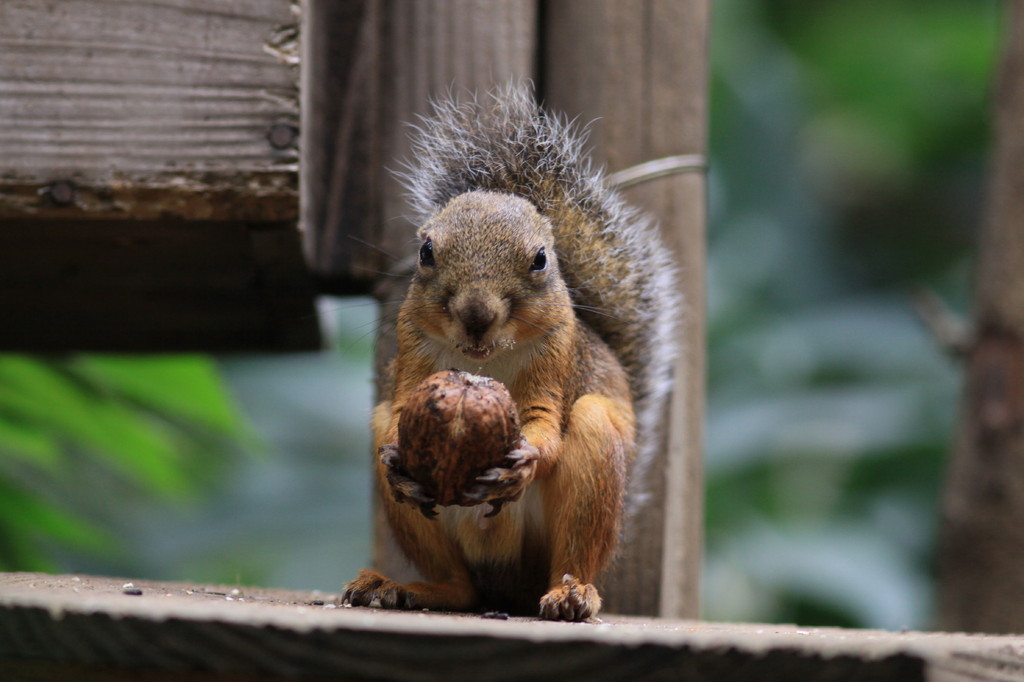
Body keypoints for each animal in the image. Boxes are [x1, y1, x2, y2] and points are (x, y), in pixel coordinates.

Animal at [342, 82, 679, 618]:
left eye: (541, 259)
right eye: (426, 252)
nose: (477, 315)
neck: (484, 361)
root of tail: (509, 585)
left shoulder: (556, 357)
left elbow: (544, 422)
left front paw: (526, 459)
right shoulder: (413, 349)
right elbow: (399, 411)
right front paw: (397, 458)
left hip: (592, 472)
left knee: (574, 548)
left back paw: (572, 592)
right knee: (461, 588)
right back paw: (404, 587)